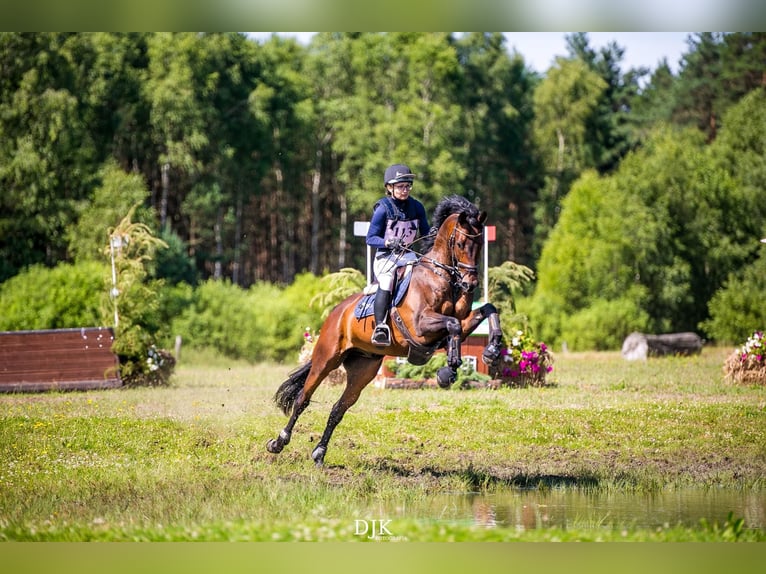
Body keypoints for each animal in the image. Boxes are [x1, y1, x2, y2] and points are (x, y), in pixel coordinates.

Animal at [268, 196, 508, 466]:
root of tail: (336, 312)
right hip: (326, 359)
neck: (440, 276)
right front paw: (448, 371)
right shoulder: (420, 327)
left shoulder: (458, 325)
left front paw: (492, 351)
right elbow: (452, 324)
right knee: (303, 399)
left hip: (363, 369)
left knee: (339, 408)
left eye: (479, 244)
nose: (470, 284)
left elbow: (486, 310)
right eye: (460, 243)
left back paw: (319, 453)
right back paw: (278, 442)